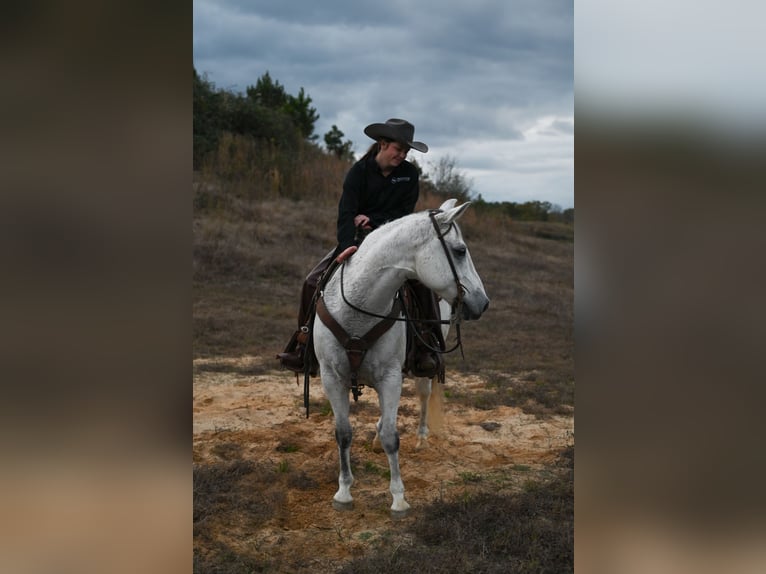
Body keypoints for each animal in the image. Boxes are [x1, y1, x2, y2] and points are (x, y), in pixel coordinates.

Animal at [314, 200, 488, 516]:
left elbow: (391, 438)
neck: (358, 307)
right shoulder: (331, 377)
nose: (483, 302)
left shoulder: (390, 377)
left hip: (422, 369)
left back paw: (421, 438)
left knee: (423, 395)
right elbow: (343, 433)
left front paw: (398, 498)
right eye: (460, 250)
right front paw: (343, 492)